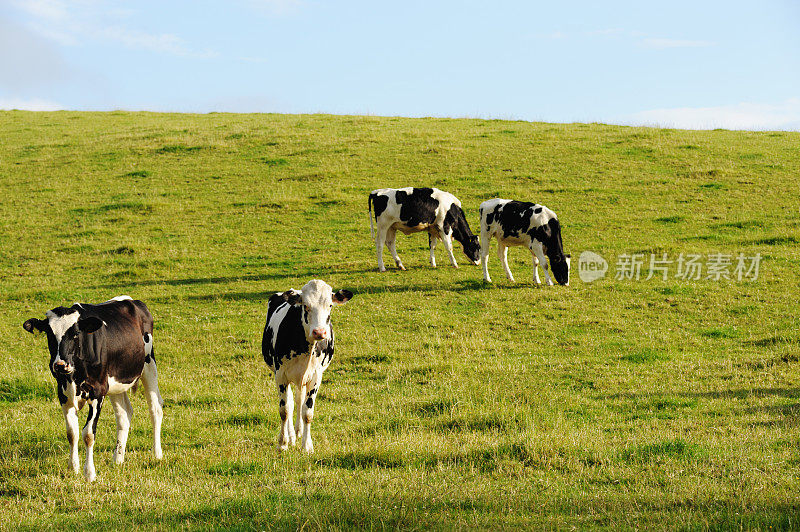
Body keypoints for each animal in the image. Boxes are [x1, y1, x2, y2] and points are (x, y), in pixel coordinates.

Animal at [22, 296, 162, 482]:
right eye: (50, 335)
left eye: (75, 334)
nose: (60, 365)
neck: (75, 374)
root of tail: (132, 301)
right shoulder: (63, 395)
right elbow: (72, 433)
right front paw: (73, 467)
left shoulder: (97, 392)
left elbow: (88, 434)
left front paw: (89, 473)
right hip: (115, 384)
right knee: (124, 414)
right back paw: (117, 458)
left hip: (148, 364)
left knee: (155, 409)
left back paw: (157, 453)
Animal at [260, 278, 352, 454]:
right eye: (305, 305)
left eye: (330, 305)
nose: (319, 332)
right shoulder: (280, 376)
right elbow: (284, 410)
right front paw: (282, 443)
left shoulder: (315, 377)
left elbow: (307, 411)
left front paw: (307, 445)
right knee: (290, 403)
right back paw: (291, 436)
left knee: (298, 400)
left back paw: (298, 432)